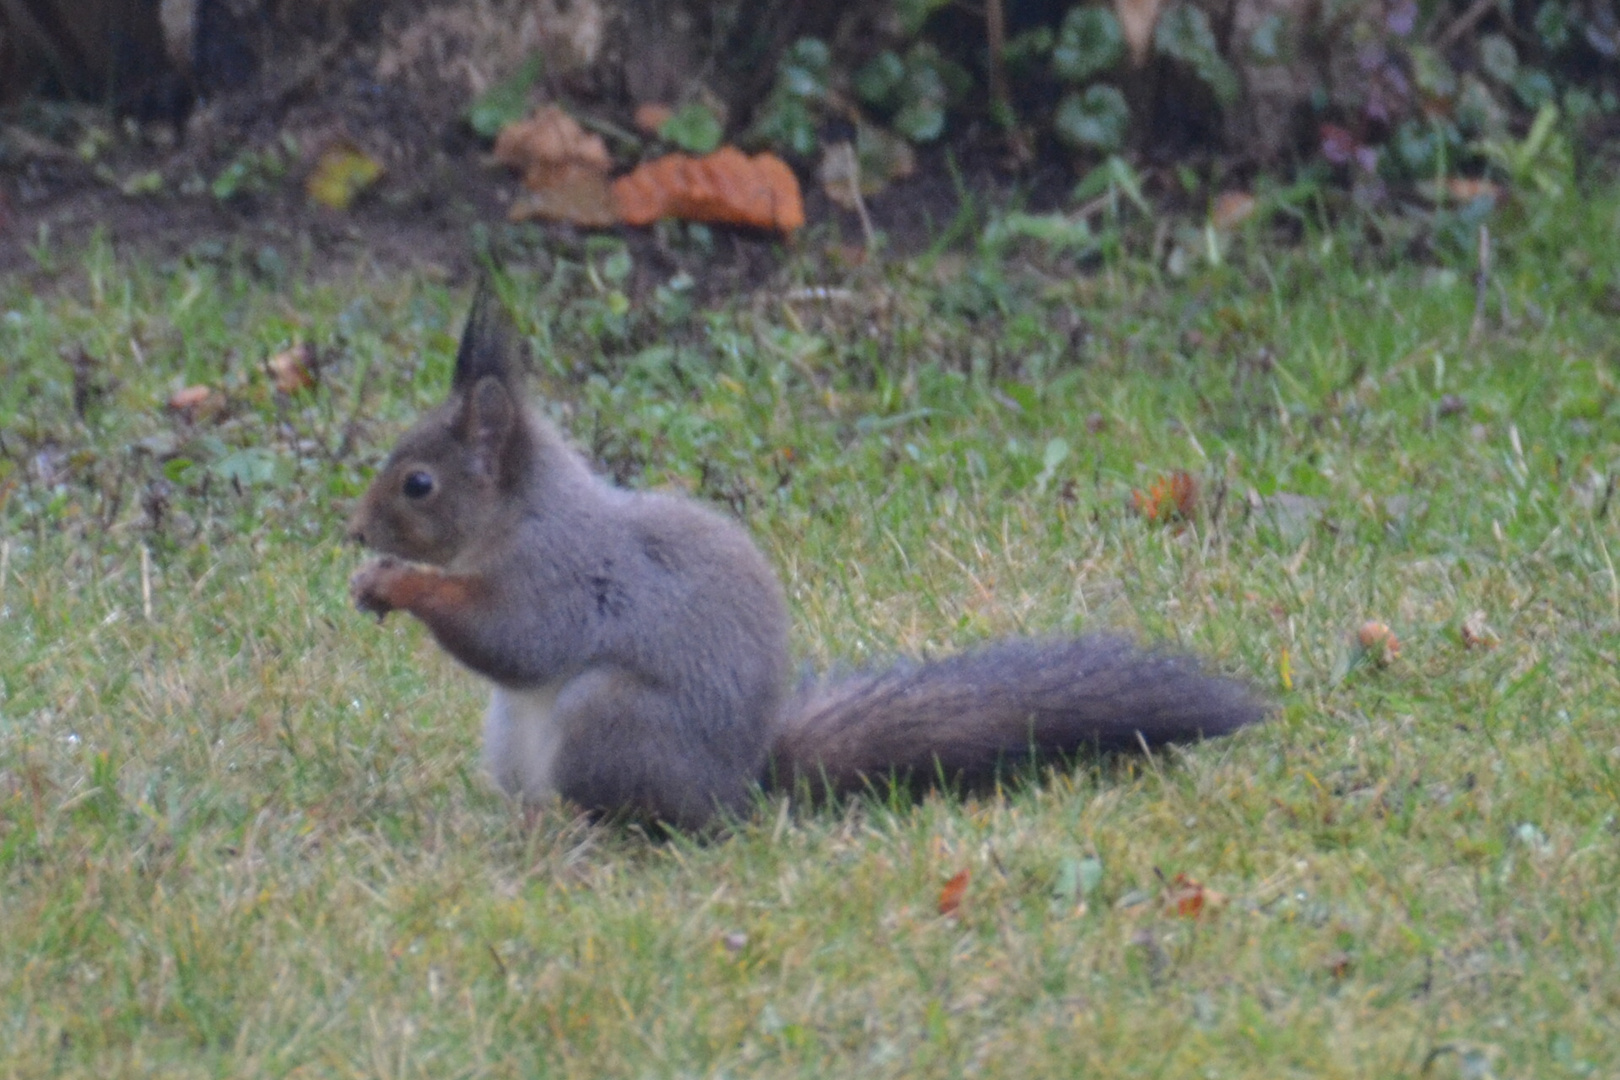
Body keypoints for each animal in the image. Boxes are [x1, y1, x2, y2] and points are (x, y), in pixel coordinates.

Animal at [351, 284, 1263, 829]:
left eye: (419, 484)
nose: (355, 532)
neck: (520, 515)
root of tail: (741, 786)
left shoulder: (561, 575)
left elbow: (515, 639)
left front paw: (401, 584)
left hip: (610, 723)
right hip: (511, 736)